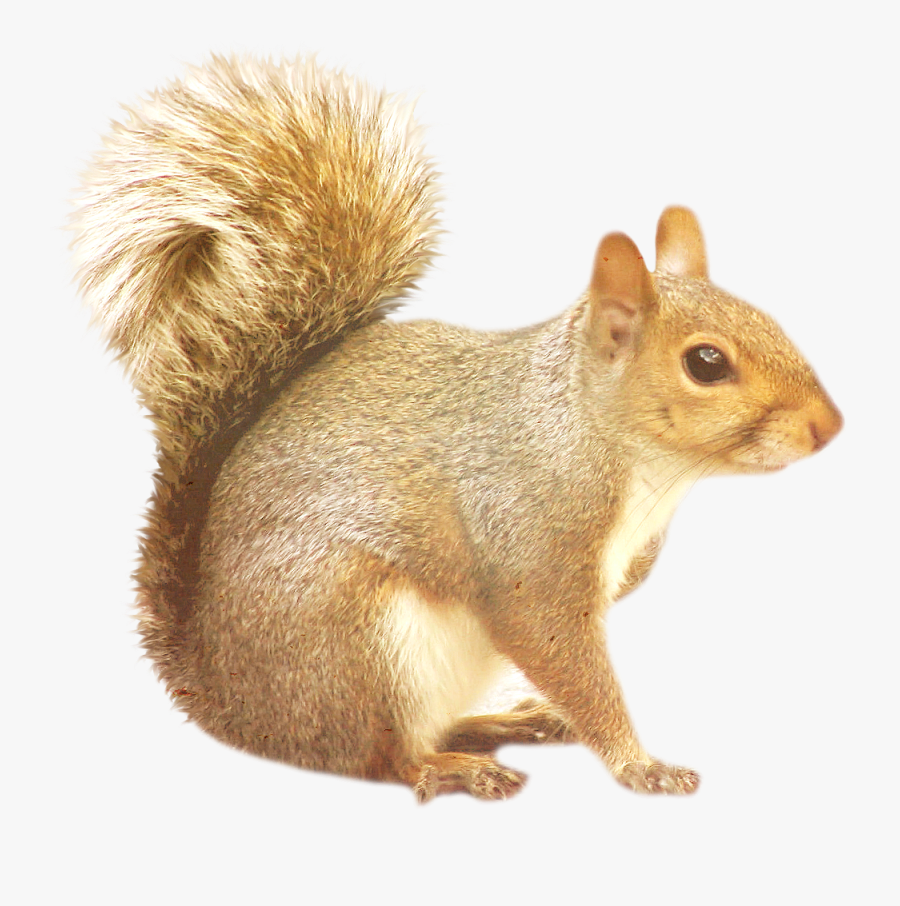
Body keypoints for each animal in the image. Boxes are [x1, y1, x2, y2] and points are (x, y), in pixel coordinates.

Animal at [73, 55, 843, 801]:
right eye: (706, 363)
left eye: (770, 319)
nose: (829, 426)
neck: (615, 447)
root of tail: (225, 697)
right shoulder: (531, 539)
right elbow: (558, 648)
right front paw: (640, 766)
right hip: (358, 641)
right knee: (381, 757)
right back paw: (451, 768)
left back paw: (503, 723)